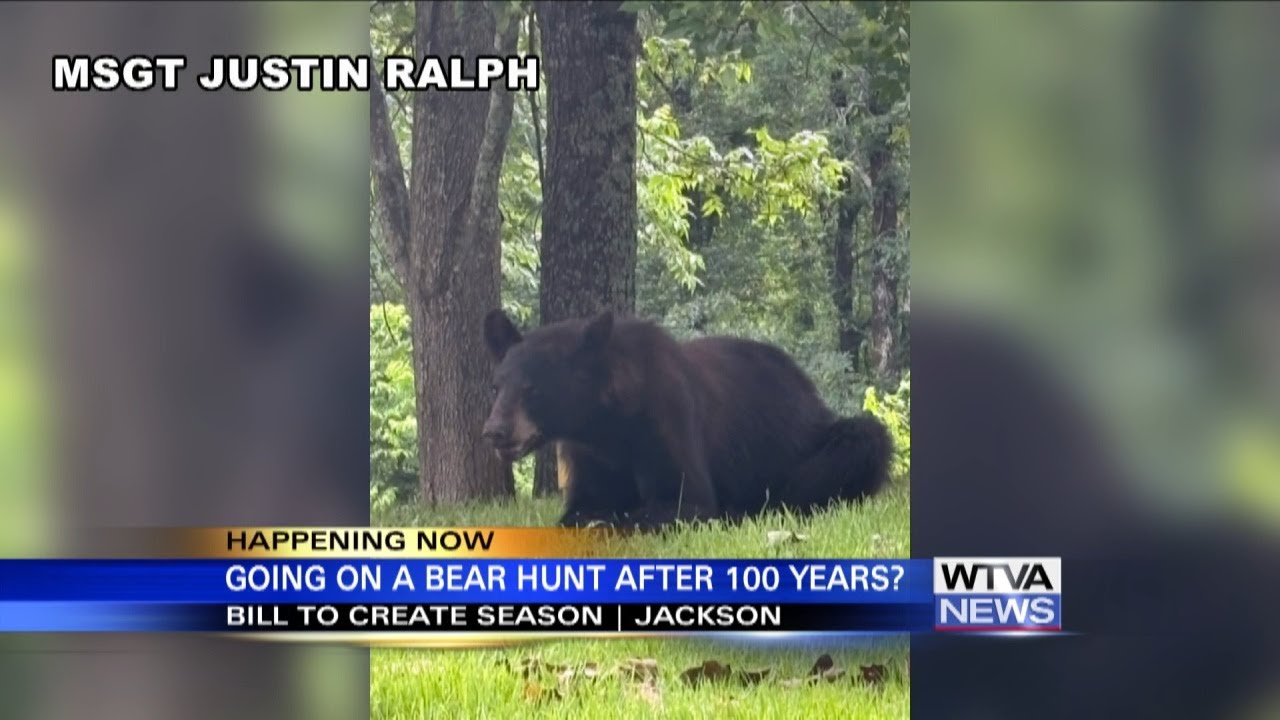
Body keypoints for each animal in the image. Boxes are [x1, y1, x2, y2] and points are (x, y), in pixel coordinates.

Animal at [481, 308, 892, 529]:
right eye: (497, 387)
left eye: (533, 390)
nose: (495, 432)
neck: (607, 425)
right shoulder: (588, 453)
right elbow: (582, 507)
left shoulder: (666, 419)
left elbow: (681, 499)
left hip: (809, 443)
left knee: (857, 443)